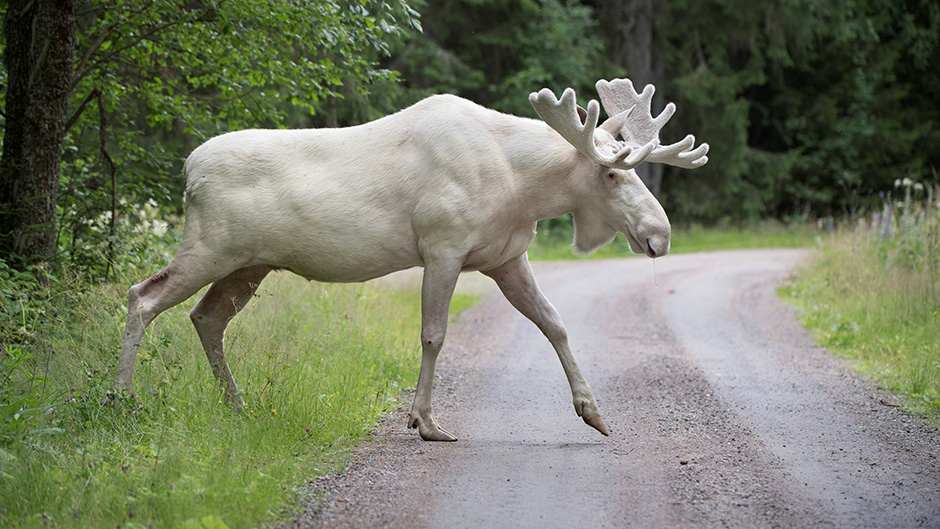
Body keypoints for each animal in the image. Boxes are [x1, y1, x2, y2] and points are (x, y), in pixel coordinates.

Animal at [115, 78, 704, 442]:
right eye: (611, 173)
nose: (660, 234)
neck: (521, 187)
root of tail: (188, 170)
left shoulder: (506, 257)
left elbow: (555, 323)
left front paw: (593, 412)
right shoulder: (442, 246)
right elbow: (434, 334)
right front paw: (424, 422)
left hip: (248, 264)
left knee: (206, 317)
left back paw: (236, 405)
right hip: (211, 247)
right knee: (142, 296)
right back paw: (120, 398)